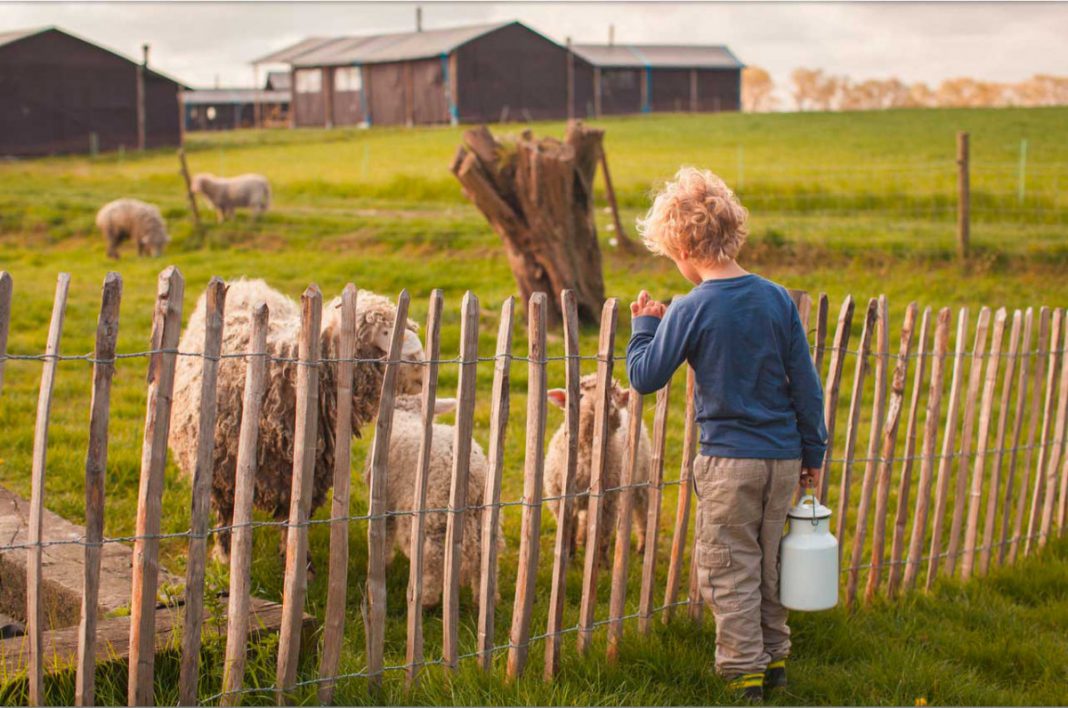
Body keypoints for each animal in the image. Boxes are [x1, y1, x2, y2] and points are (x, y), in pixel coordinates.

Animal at [168, 279, 422, 563]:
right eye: (384, 331)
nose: (420, 365)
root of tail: (247, 282)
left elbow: (293, 521)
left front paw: (300, 561)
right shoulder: (221, 473)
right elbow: (226, 514)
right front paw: (224, 555)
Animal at [365, 392, 501, 610]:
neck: (407, 415)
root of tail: (472, 478)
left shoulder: (386, 503)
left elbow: (385, 535)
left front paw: (383, 563)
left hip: (434, 515)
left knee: (432, 558)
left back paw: (426, 599)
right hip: (483, 517)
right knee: (486, 558)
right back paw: (485, 599)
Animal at [546, 373, 653, 563]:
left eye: (615, 397)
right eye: (580, 396)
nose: (606, 408)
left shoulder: (608, 500)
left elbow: (603, 533)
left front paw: (602, 563)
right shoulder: (559, 497)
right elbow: (568, 530)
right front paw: (570, 555)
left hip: (641, 480)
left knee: (642, 512)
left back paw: (642, 546)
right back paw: (582, 539)